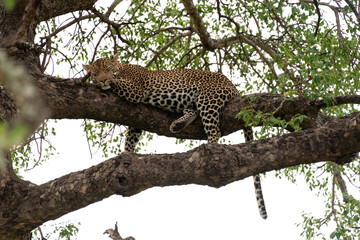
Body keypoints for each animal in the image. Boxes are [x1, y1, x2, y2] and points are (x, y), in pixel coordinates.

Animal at [82, 54, 268, 219]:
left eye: (107, 69)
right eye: (95, 73)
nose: (102, 80)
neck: (122, 69)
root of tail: (234, 87)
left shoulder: (135, 90)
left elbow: (118, 83)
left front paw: (109, 82)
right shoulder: (136, 120)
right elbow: (130, 138)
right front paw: (127, 153)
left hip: (208, 100)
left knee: (215, 131)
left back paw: (208, 147)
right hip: (192, 102)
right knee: (193, 112)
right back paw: (178, 125)